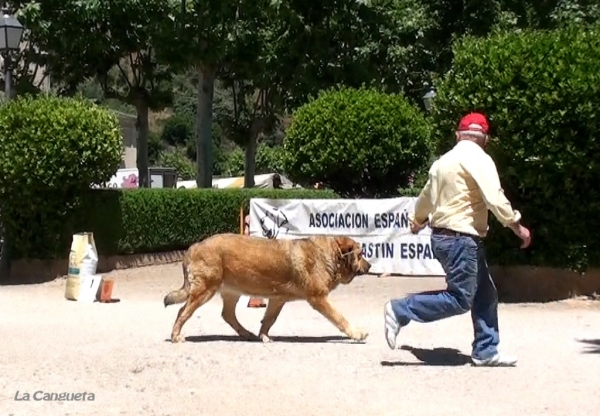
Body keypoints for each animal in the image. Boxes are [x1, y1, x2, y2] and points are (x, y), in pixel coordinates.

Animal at [164, 232, 370, 342]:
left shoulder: (277, 300)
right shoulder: (319, 298)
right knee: (183, 311)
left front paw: (263, 335)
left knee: (228, 315)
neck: (329, 255)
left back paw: (246, 333)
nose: (370, 266)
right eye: (360, 255)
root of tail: (193, 247)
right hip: (204, 291)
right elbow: (340, 318)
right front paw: (356, 333)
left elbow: (269, 319)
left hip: (231, 292)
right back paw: (175, 335)